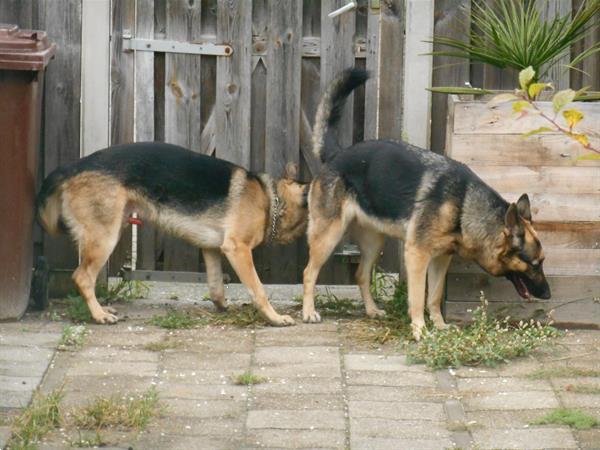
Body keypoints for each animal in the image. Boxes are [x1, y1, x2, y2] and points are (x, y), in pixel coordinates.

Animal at [37, 142, 310, 326]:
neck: (271, 199)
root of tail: (73, 166)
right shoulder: (238, 249)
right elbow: (258, 289)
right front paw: (274, 317)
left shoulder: (212, 249)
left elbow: (216, 286)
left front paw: (222, 307)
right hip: (105, 238)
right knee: (82, 277)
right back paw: (99, 315)